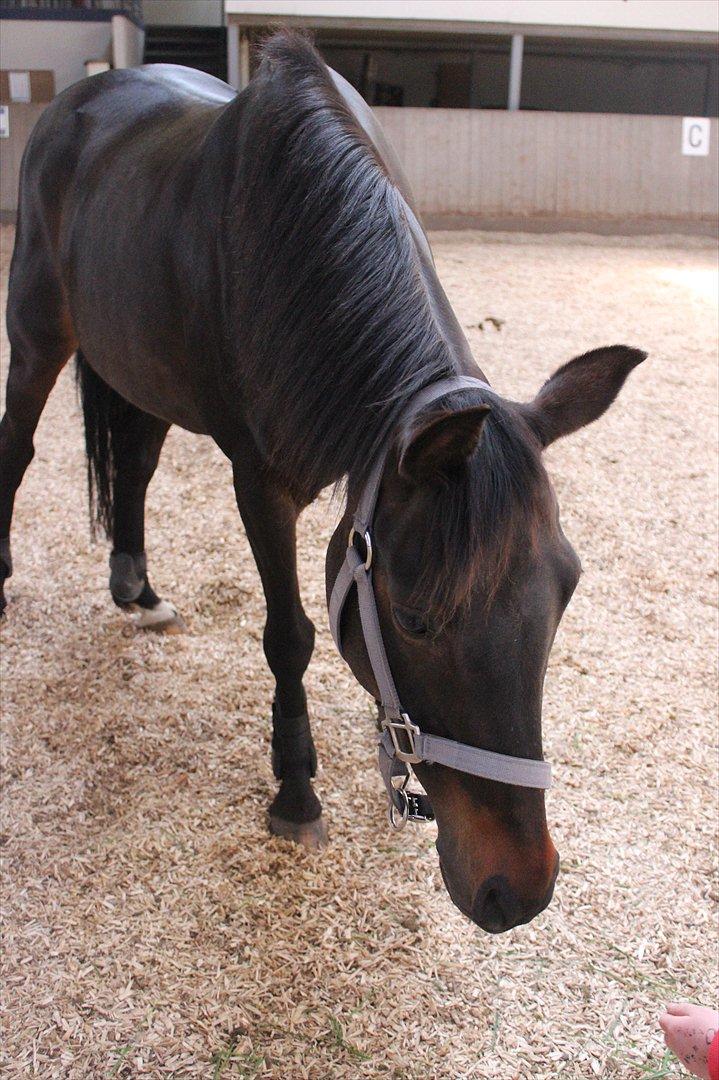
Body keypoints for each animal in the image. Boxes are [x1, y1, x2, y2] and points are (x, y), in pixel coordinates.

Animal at [0, 33, 643, 928]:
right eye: (412, 620)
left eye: (566, 591)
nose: (519, 890)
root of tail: (78, 101)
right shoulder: (259, 482)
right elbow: (291, 636)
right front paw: (296, 789)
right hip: (37, 334)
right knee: (17, 449)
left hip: (143, 362)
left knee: (136, 464)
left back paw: (137, 587)